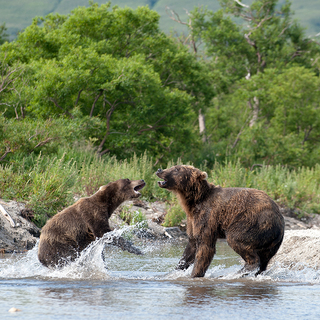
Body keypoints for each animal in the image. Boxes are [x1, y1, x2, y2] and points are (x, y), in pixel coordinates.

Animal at [156, 165, 284, 278]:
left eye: (177, 169)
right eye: (174, 166)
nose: (159, 170)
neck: (194, 201)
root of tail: (280, 218)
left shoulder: (208, 215)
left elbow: (205, 246)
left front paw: (195, 274)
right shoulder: (191, 220)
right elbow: (191, 246)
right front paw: (172, 272)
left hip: (253, 222)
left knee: (237, 239)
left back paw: (237, 272)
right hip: (271, 242)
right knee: (265, 259)